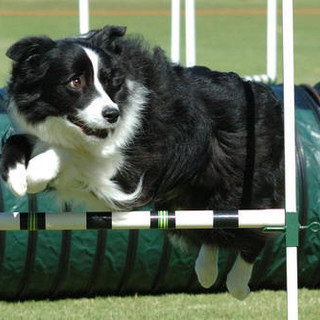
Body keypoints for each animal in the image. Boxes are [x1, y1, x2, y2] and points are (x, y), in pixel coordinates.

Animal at [1, 25, 284, 300]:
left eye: (106, 81)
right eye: (75, 81)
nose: (112, 114)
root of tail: (261, 93)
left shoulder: (127, 170)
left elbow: (70, 152)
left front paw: (35, 174)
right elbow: (17, 141)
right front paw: (16, 177)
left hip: (243, 184)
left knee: (252, 229)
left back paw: (238, 284)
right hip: (188, 197)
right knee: (213, 226)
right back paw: (206, 272)